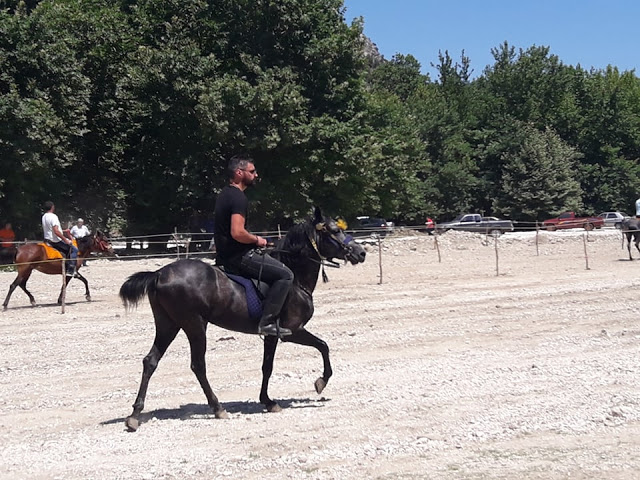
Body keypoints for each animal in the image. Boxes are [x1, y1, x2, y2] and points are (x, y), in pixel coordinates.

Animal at [119, 208, 364, 434]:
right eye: (335, 230)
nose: (361, 252)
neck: (295, 279)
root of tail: (159, 273)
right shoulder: (292, 331)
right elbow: (323, 346)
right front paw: (320, 382)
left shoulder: (272, 335)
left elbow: (267, 366)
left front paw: (267, 401)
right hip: (194, 325)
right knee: (198, 365)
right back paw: (217, 407)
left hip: (168, 324)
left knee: (150, 361)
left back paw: (134, 415)